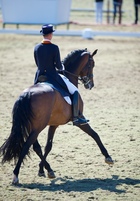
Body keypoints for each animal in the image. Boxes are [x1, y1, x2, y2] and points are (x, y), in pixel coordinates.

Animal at [0, 48, 114, 185]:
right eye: (92, 64)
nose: (90, 85)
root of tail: (27, 94)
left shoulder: (54, 124)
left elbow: (48, 146)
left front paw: (43, 170)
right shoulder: (79, 119)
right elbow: (95, 134)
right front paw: (108, 157)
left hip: (31, 126)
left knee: (36, 146)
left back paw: (47, 169)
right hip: (38, 127)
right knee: (27, 146)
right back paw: (16, 176)